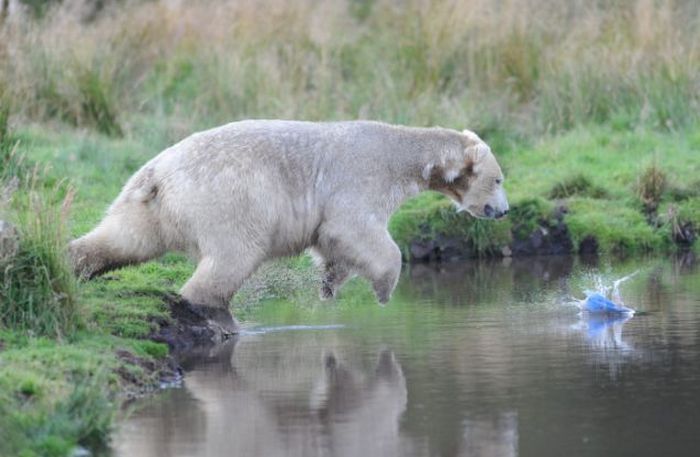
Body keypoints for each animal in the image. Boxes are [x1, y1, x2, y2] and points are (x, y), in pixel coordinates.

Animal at [69, 120, 508, 332]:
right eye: (499, 180)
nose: (502, 212)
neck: (402, 153)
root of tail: (160, 174)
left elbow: (333, 243)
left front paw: (329, 285)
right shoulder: (362, 176)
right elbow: (353, 228)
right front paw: (384, 291)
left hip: (145, 203)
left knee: (123, 238)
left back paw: (74, 263)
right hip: (229, 200)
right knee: (232, 257)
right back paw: (217, 316)